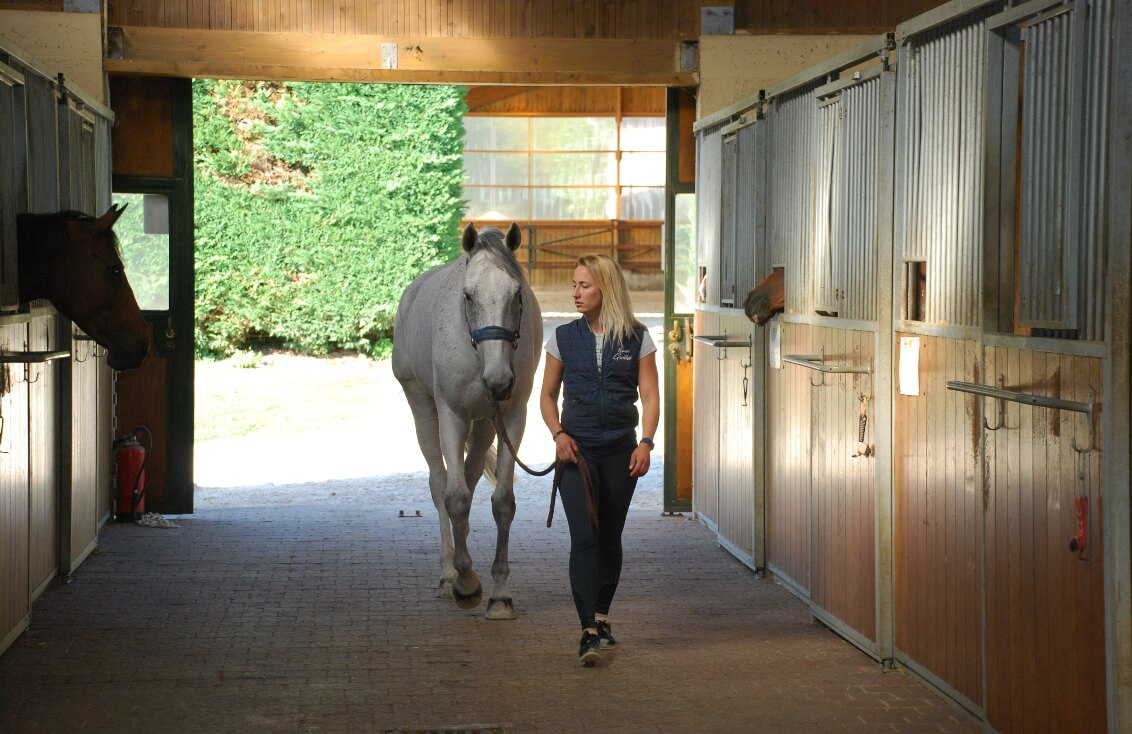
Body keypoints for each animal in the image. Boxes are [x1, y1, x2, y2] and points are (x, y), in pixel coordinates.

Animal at [393, 223, 543, 620]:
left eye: (516, 294)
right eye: (469, 295)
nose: (499, 380)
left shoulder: (512, 417)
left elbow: (502, 503)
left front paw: (499, 595)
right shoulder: (452, 415)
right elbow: (454, 497)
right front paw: (465, 584)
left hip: (486, 424)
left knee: (470, 476)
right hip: (422, 406)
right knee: (439, 484)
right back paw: (449, 575)